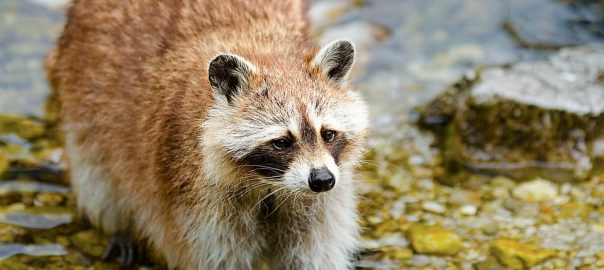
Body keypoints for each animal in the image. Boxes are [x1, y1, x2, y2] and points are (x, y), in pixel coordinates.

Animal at [47, 1, 368, 268]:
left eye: (328, 134)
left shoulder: (320, 205)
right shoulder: (193, 200)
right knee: (98, 177)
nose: (322, 180)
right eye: (281, 142)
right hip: (87, 107)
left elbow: (312, 253)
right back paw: (120, 228)